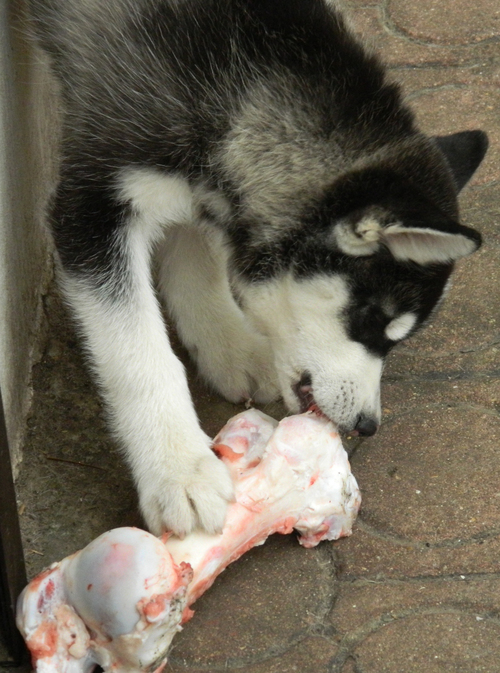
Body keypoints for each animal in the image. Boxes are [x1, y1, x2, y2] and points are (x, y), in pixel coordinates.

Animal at [29, 0, 486, 536]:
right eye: (372, 322)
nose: (367, 425)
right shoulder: (93, 206)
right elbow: (137, 350)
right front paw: (179, 469)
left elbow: (194, 247)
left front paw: (228, 344)